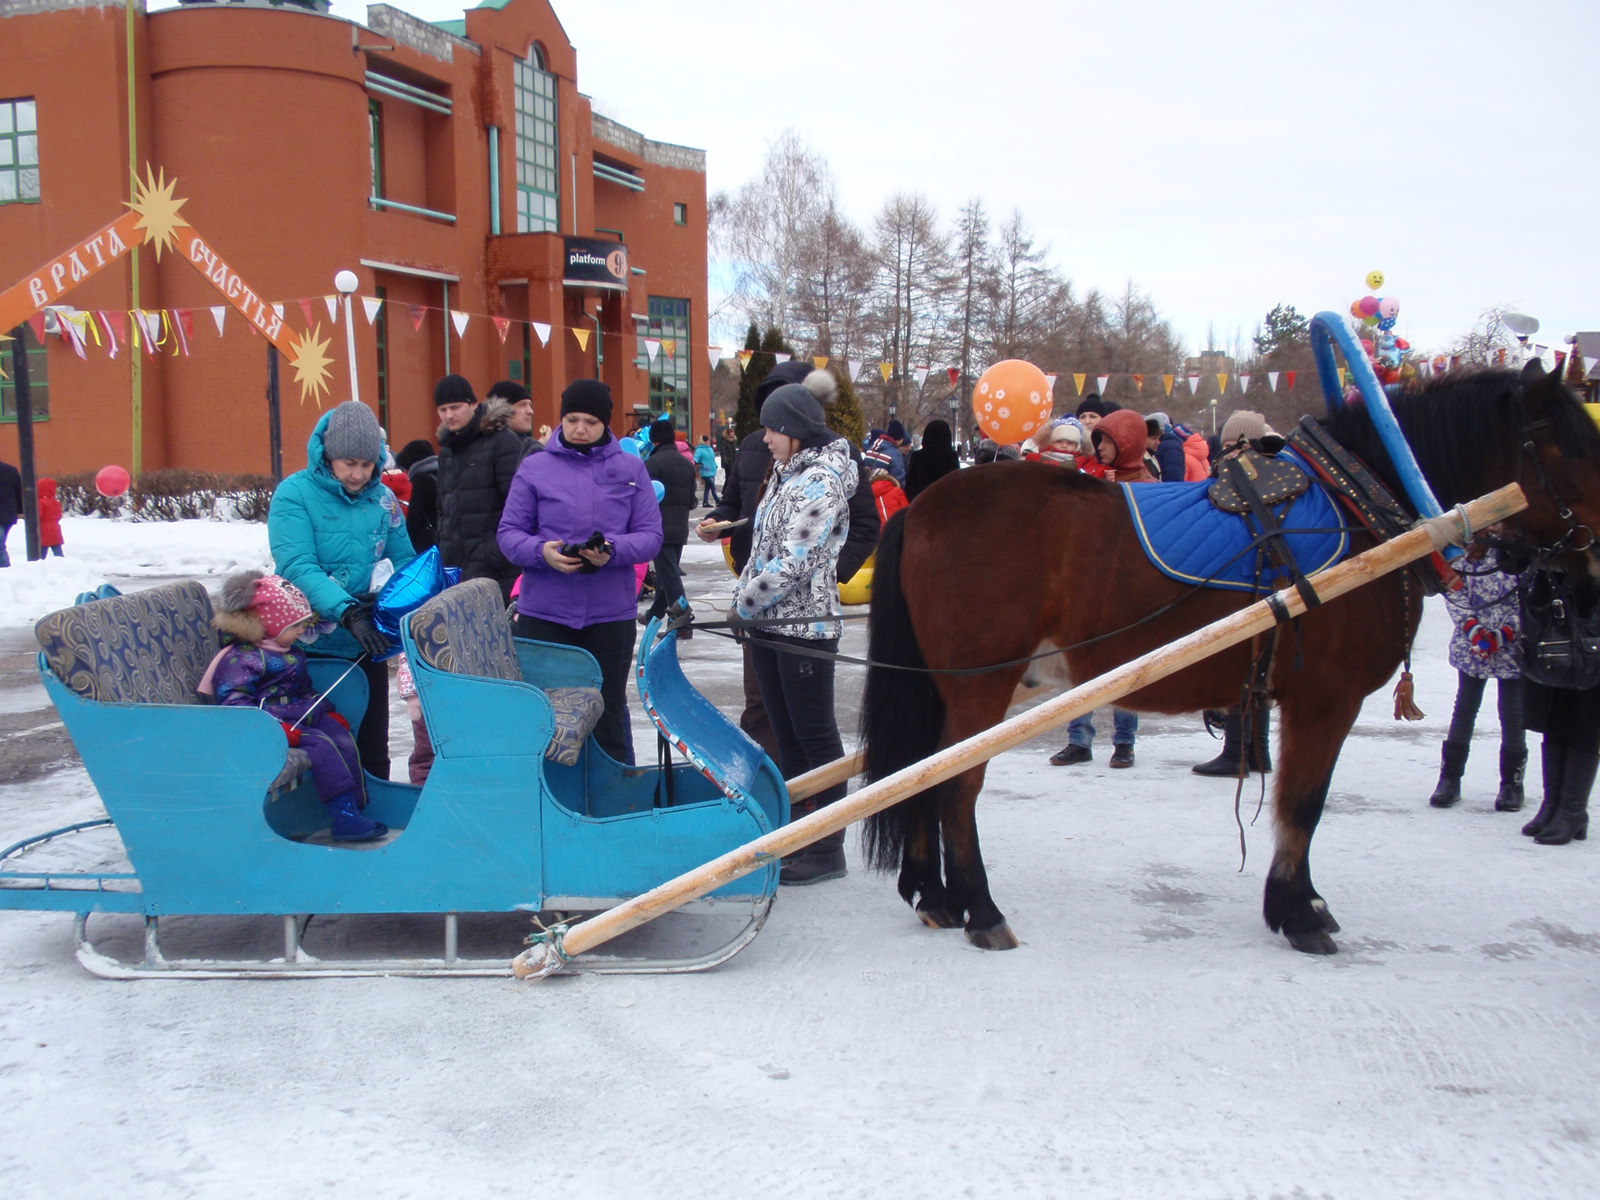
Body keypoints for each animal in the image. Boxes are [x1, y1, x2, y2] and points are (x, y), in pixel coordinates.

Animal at [864, 364, 1600, 960]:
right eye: (1569, 443)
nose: (1589, 568)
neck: (1359, 504)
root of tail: (925, 506)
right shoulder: (1325, 698)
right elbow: (1304, 804)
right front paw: (1299, 912)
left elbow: (1296, 802)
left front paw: (1299, 903)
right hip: (980, 687)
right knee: (952, 785)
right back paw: (980, 909)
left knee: (919, 774)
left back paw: (934, 896)